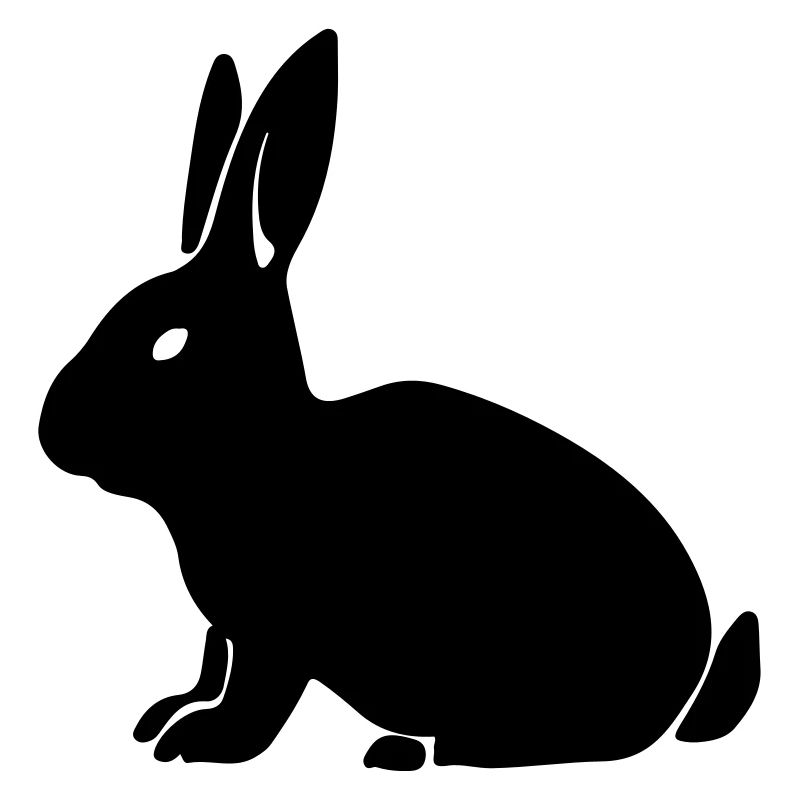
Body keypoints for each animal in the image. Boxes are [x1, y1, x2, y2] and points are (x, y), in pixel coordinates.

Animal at [39, 29, 760, 770]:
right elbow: (223, 667)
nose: (51, 433)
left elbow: (257, 698)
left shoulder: (280, 636)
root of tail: (683, 691)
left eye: (169, 343)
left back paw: (430, 746)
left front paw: (204, 743)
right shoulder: (239, 632)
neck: (260, 453)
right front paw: (171, 717)